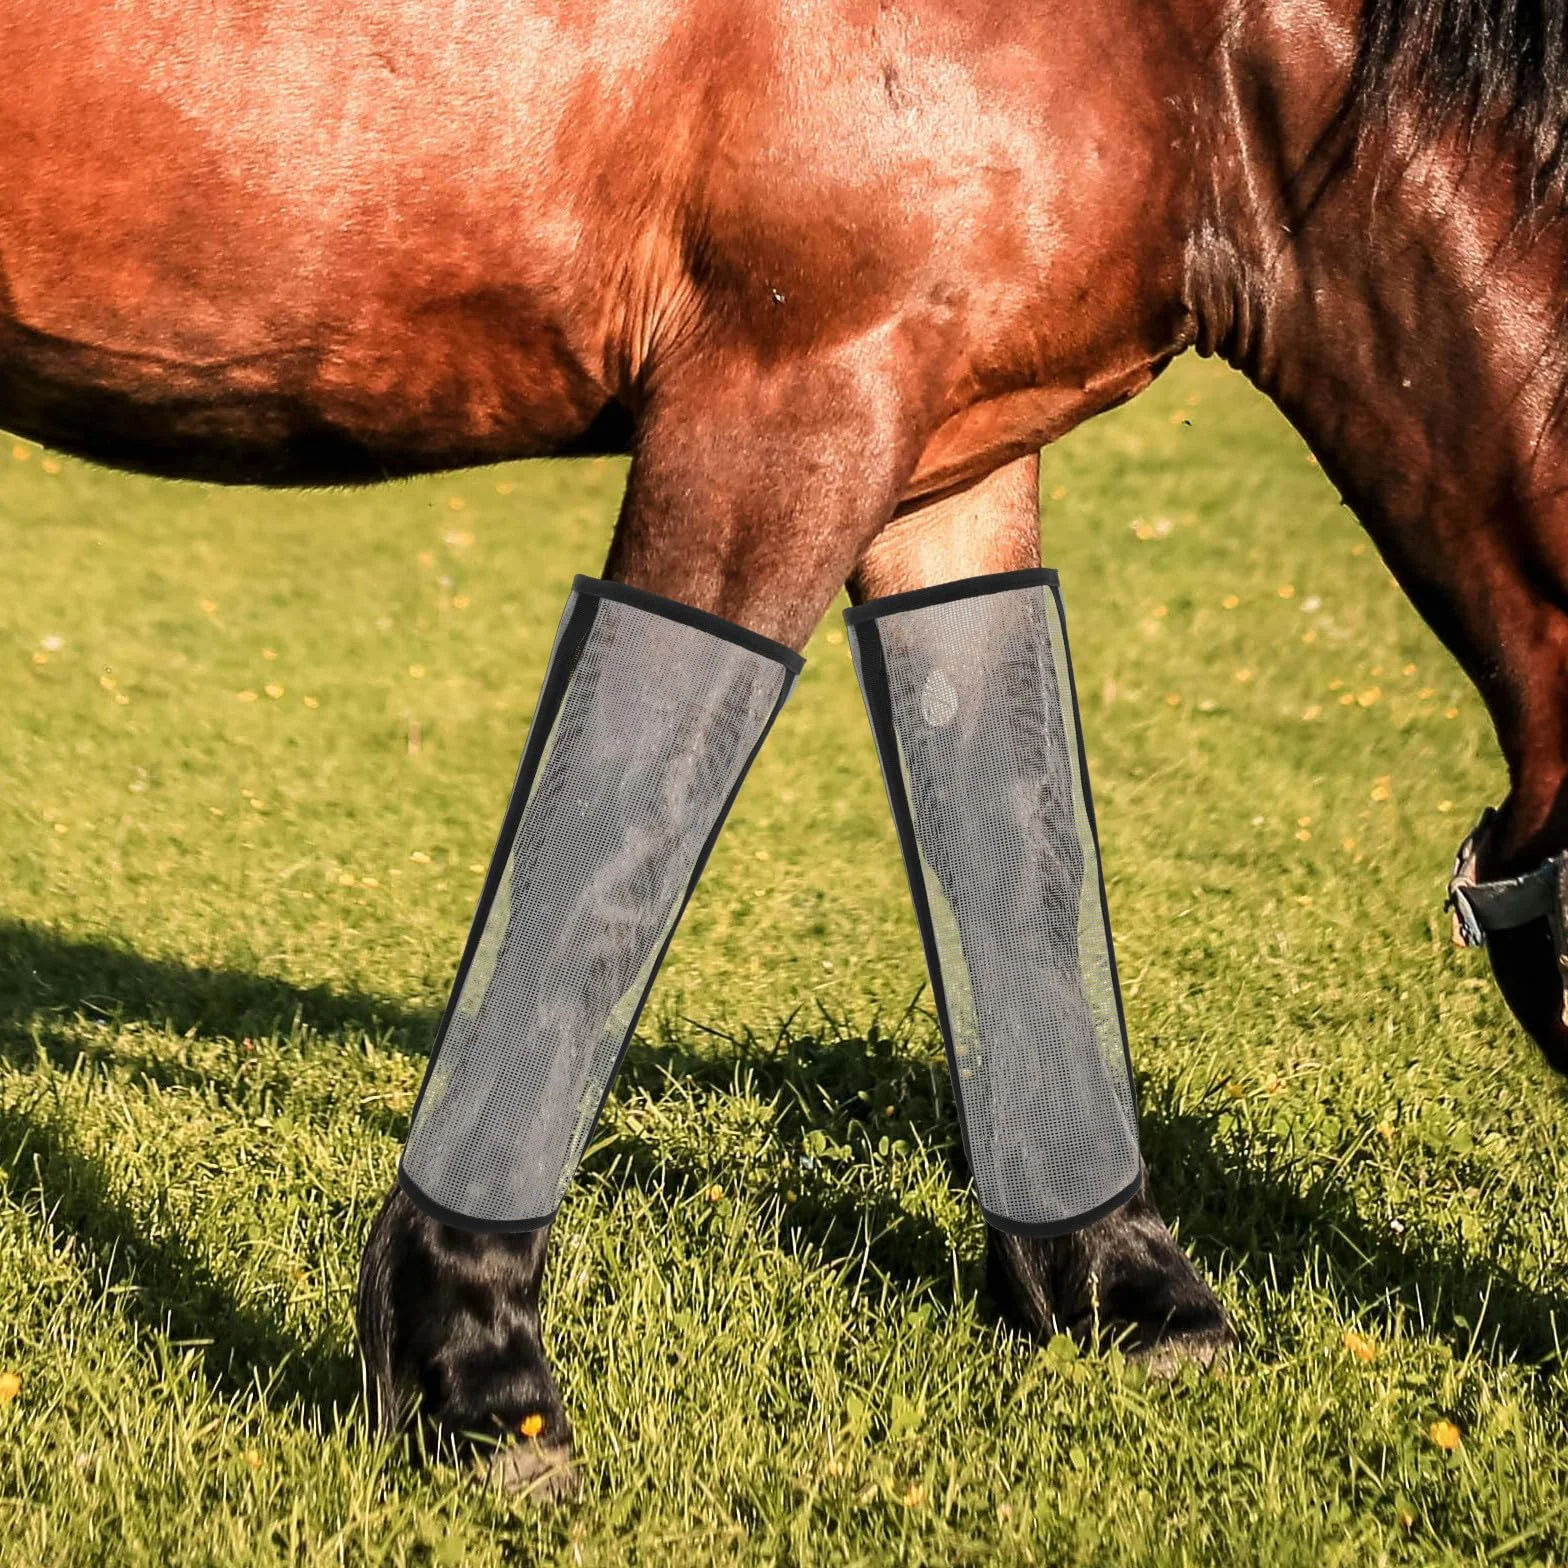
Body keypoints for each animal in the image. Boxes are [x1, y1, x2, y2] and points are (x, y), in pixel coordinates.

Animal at [3, 0, 1566, 1496]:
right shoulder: (786, 403)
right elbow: (617, 845)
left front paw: (1117, 1278)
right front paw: (473, 1361)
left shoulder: (955, 454)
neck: (1201, 56)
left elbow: (1015, 846)